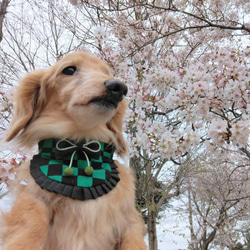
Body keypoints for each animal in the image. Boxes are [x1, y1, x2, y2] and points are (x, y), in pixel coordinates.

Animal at [0, 51, 147, 249]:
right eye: (69, 70)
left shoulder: (129, 218)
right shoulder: (33, 197)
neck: (80, 150)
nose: (119, 87)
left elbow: (134, 240)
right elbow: (32, 223)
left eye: (107, 73)